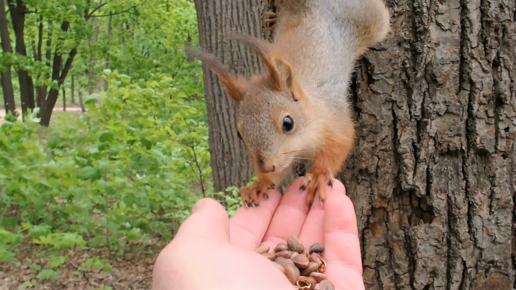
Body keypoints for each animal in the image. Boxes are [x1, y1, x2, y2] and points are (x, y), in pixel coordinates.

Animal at [187, 0, 390, 208]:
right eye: (239, 134)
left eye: (288, 123)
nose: (267, 167)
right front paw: (260, 183)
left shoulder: (333, 119)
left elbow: (339, 145)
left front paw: (318, 175)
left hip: (370, 19)